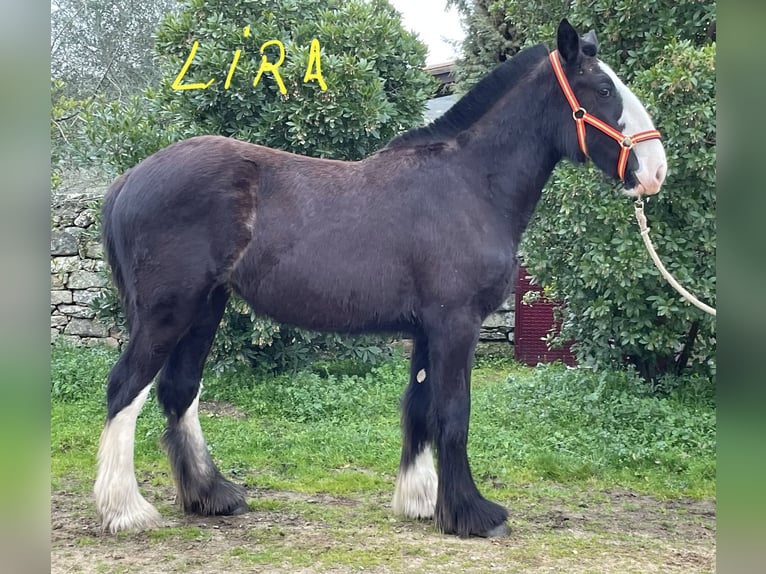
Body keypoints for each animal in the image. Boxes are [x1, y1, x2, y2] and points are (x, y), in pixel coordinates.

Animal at [94, 19, 666, 538]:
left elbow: (420, 407)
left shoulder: (427, 329)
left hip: (206, 307)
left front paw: (423, 501)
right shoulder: (456, 323)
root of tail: (128, 180)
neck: (469, 184)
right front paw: (473, 514)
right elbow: (453, 413)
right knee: (126, 388)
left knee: (179, 390)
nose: (655, 169)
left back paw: (211, 496)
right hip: (169, 312)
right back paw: (125, 510)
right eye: (603, 89)